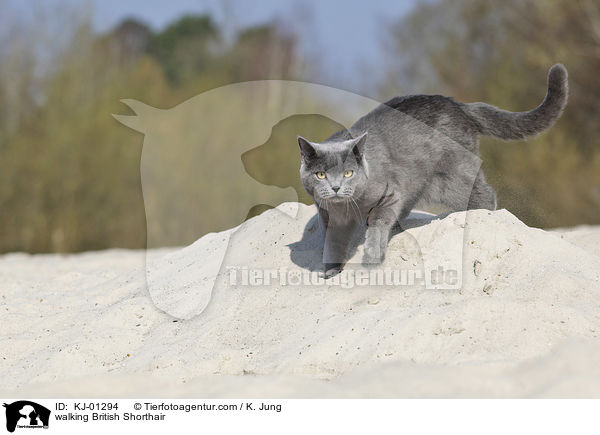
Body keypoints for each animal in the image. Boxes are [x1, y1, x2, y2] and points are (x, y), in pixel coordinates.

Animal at [298, 63, 568, 278]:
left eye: (348, 173)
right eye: (320, 174)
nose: (335, 187)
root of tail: (458, 105)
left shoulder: (389, 194)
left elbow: (378, 222)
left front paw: (371, 254)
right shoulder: (328, 215)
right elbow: (333, 241)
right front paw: (332, 270)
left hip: (451, 178)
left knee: (483, 194)